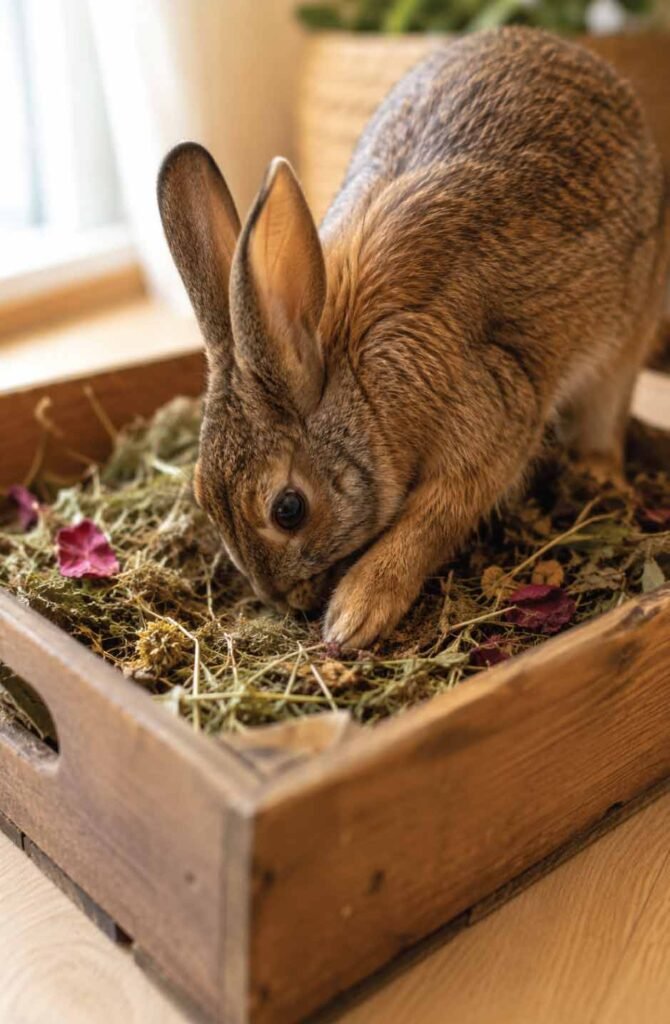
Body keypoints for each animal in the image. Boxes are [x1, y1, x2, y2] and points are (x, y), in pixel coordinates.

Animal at [158, 27, 668, 650]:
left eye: (289, 510)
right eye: (201, 494)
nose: (282, 601)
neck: (357, 379)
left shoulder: (491, 416)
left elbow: (433, 518)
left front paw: (355, 612)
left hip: (631, 321)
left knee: (606, 411)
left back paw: (599, 476)